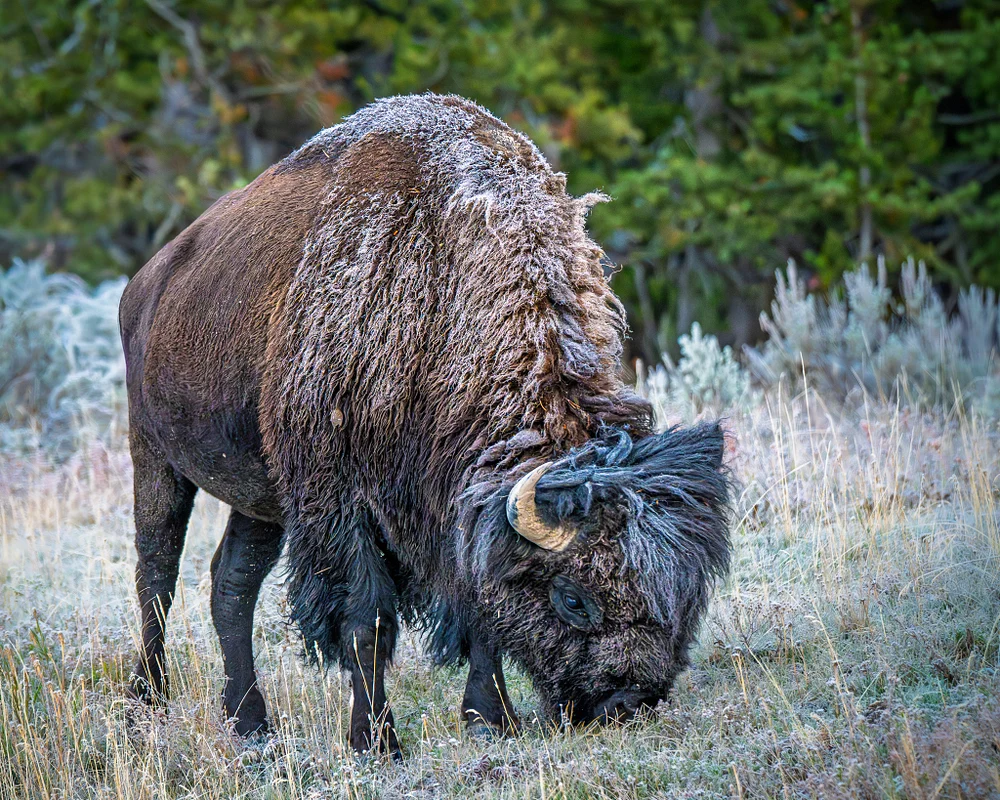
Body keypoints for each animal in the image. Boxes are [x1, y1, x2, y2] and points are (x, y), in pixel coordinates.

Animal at [119, 93, 731, 757]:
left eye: (685, 596)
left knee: (230, 584)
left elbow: (480, 615)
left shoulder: (454, 512)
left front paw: (490, 719)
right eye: (573, 599)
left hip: (259, 498)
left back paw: (251, 723)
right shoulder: (339, 504)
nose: (628, 704)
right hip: (154, 457)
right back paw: (148, 702)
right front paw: (377, 741)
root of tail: (145, 282)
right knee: (157, 573)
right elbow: (367, 620)